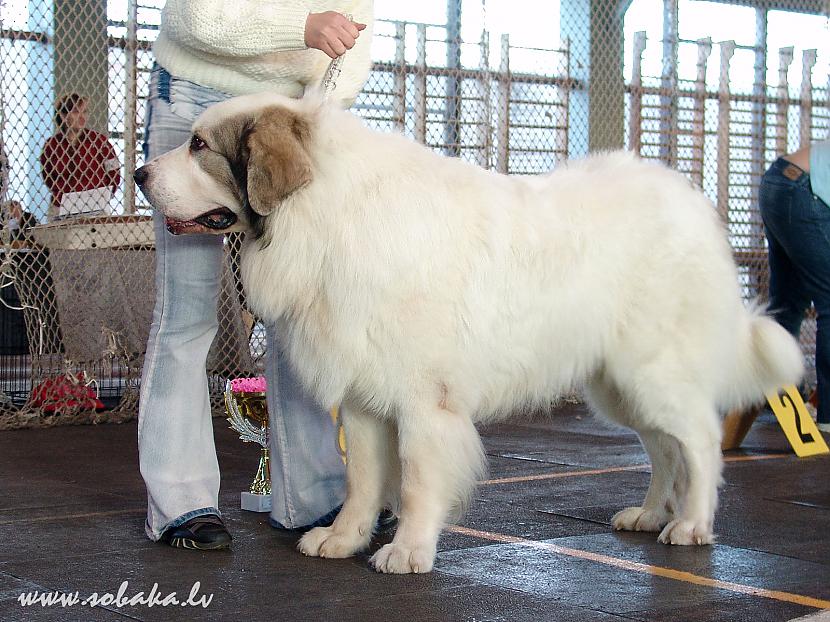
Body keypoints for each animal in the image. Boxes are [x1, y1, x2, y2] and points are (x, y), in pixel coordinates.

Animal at [135, 91, 808, 576]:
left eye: (199, 145)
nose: (140, 172)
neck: (323, 214)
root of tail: (690, 202)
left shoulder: (423, 400)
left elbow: (415, 479)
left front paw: (407, 552)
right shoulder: (363, 395)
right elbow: (363, 479)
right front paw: (344, 539)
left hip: (652, 370)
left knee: (698, 439)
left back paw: (691, 525)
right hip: (617, 386)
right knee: (664, 446)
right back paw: (647, 514)